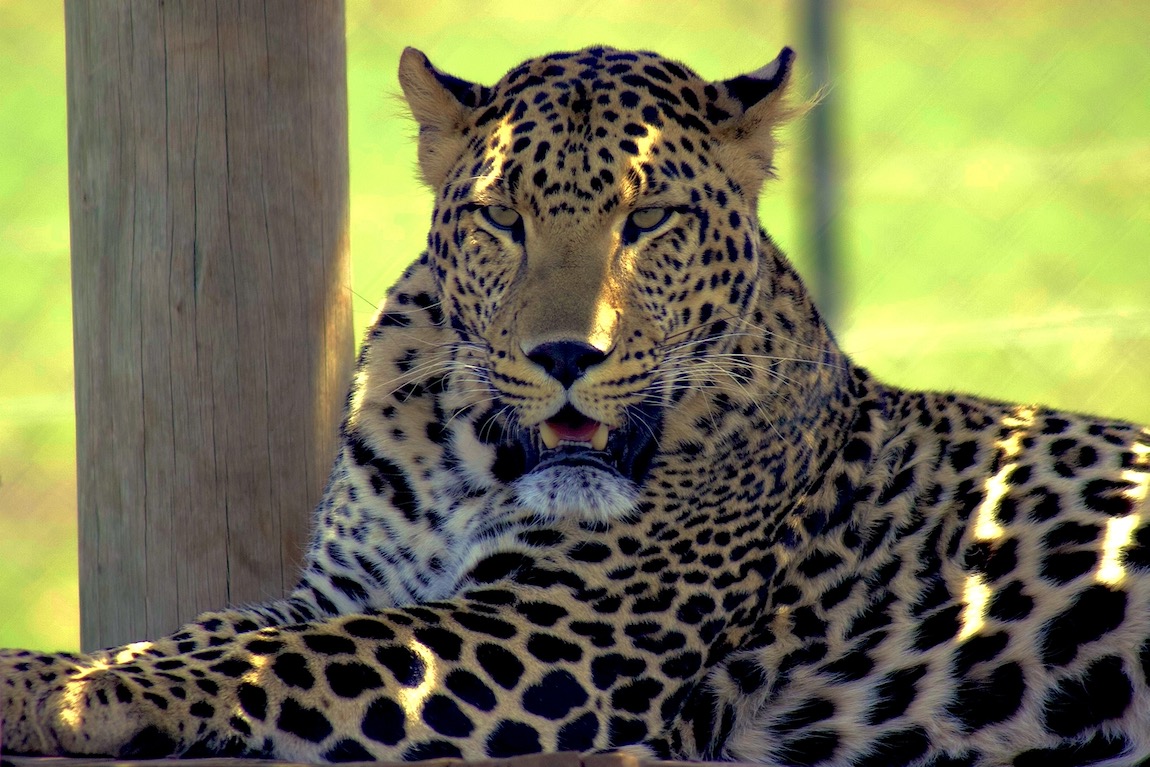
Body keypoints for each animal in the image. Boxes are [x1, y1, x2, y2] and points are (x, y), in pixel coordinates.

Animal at [3, 44, 1149, 767]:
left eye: (648, 218)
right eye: (502, 218)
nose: (565, 354)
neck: (469, 453)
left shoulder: (561, 628)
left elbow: (273, 657)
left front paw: (54, 691)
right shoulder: (342, 586)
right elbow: (211, 629)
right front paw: (65, 673)